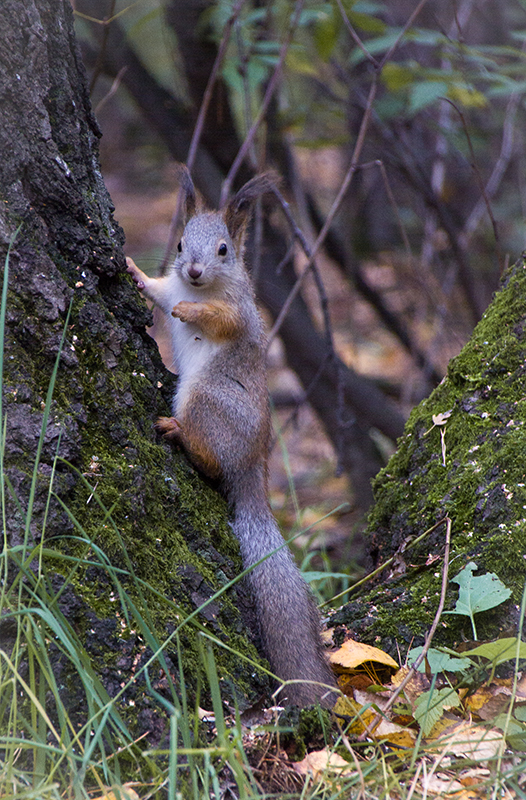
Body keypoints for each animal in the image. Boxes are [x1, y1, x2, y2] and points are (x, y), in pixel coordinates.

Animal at [126, 168, 337, 707]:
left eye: (224, 249)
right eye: (181, 243)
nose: (194, 272)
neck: (205, 289)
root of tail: (252, 466)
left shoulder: (241, 310)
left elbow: (219, 319)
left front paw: (190, 313)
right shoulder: (172, 283)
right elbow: (158, 292)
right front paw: (135, 271)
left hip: (206, 400)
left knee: (210, 460)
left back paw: (178, 433)